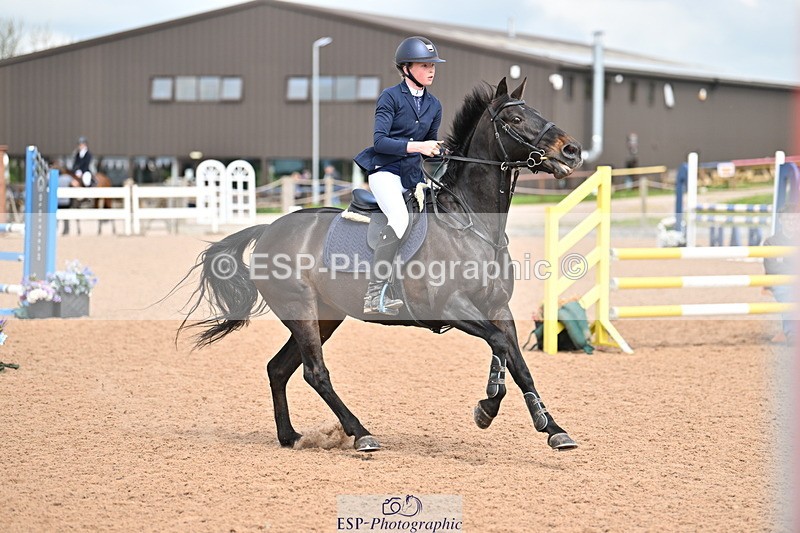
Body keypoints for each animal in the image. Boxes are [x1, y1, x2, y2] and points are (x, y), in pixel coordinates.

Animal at [178, 77, 584, 452]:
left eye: (537, 112)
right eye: (515, 119)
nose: (573, 151)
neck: (473, 224)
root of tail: (268, 229)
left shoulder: (497, 308)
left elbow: (518, 363)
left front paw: (551, 427)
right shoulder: (451, 307)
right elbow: (499, 345)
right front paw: (487, 407)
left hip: (326, 315)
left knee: (279, 368)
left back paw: (290, 436)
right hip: (300, 308)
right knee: (315, 372)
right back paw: (360, 433)